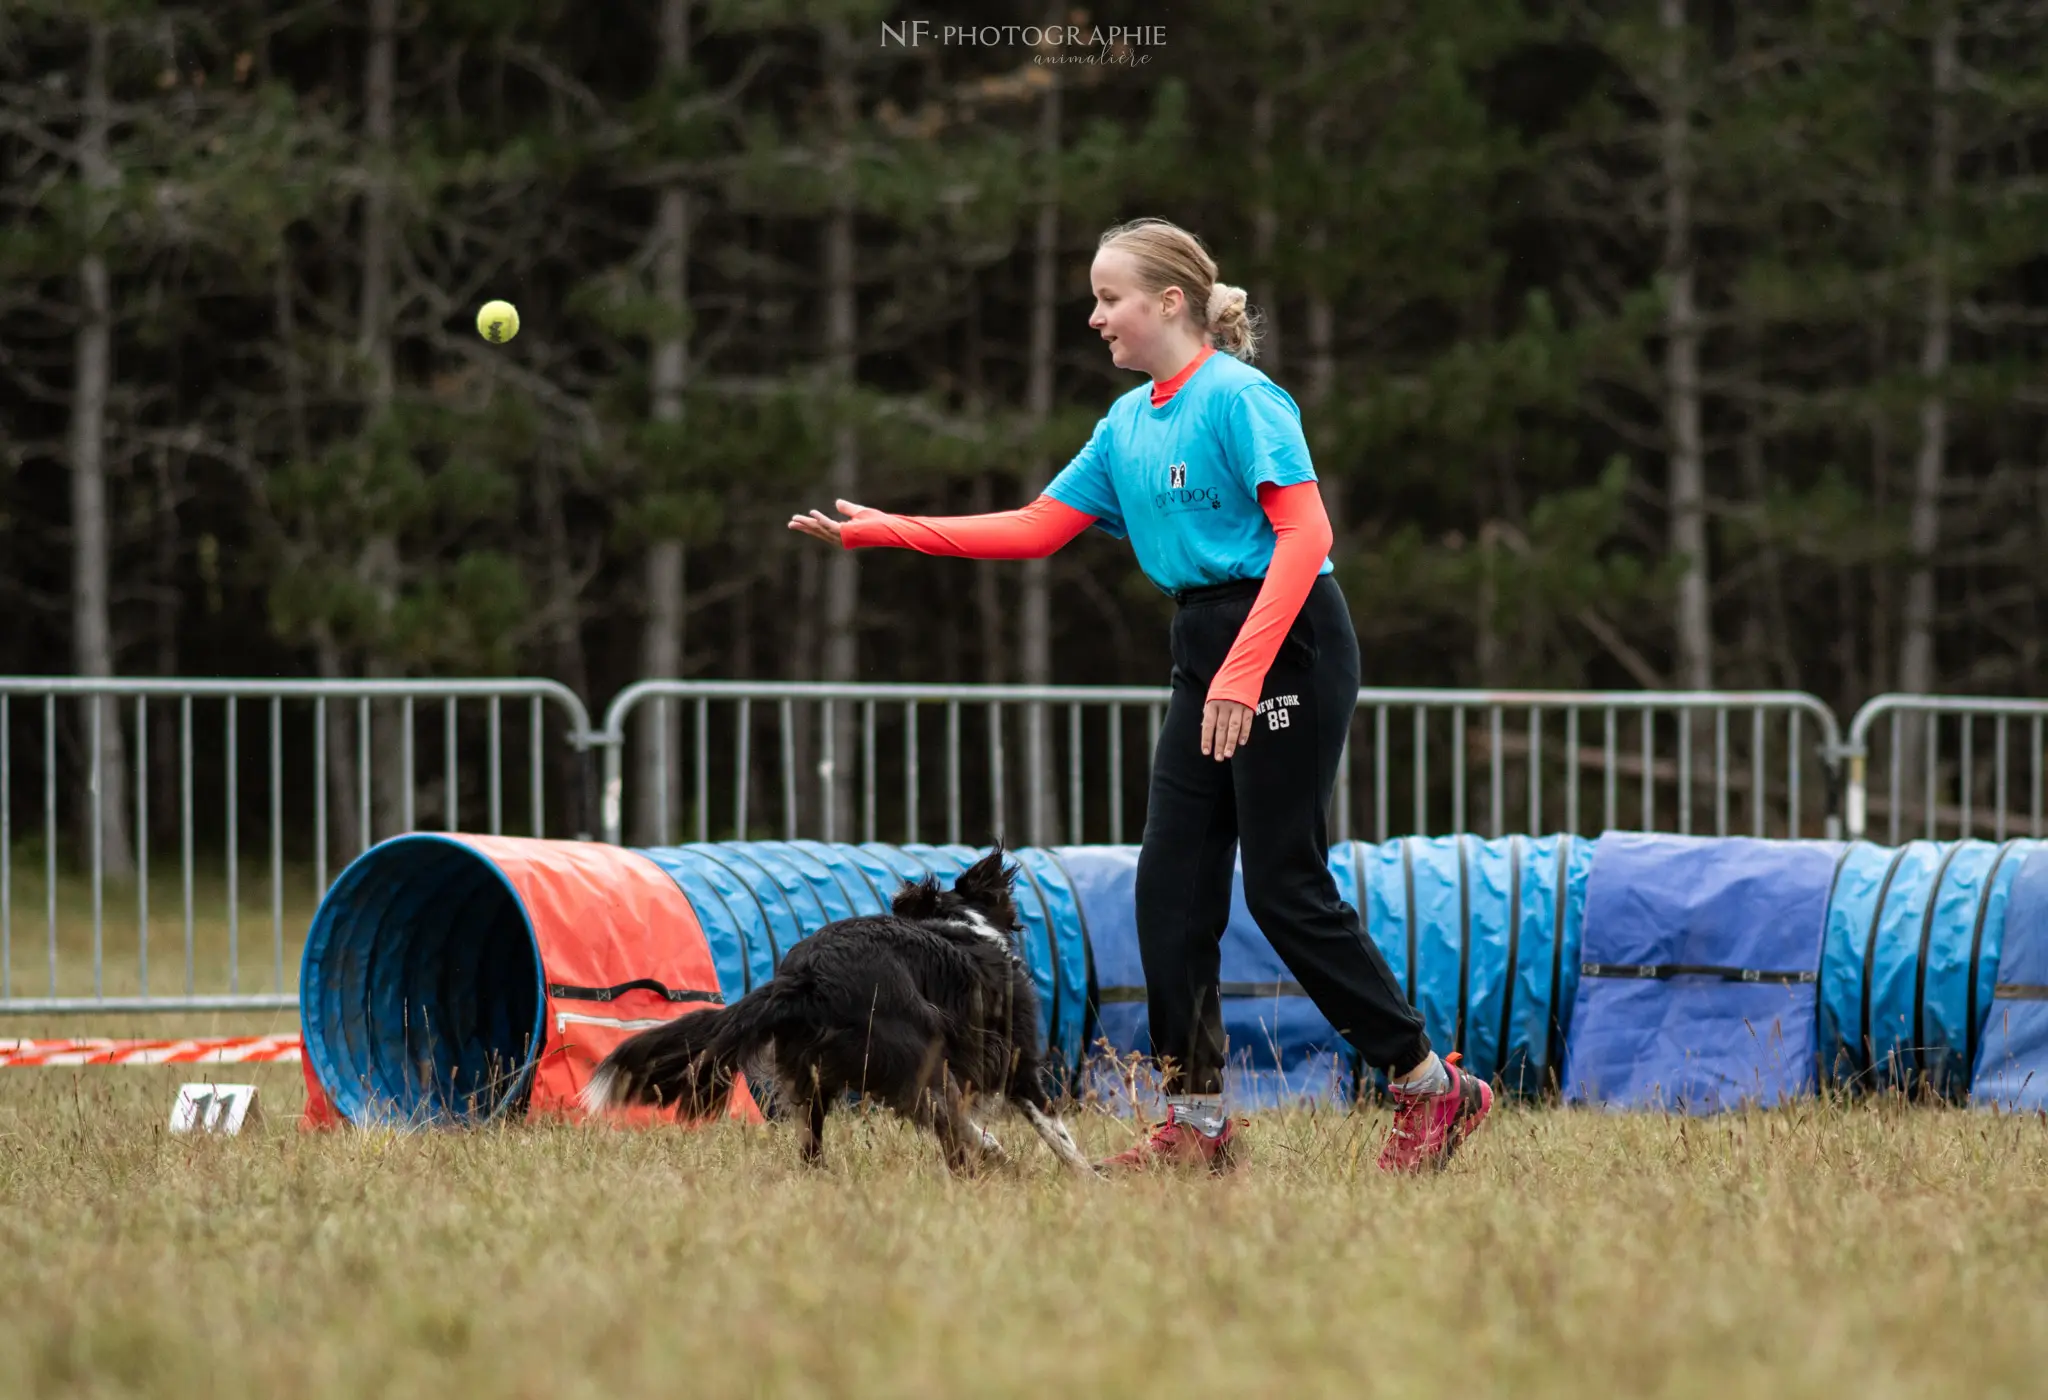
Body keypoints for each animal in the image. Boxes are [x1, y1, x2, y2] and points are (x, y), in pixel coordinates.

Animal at [581, 847, 1089, 1178]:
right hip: (919, 1055)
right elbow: (1057, 1130)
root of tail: (807, 976)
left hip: (811, 1077)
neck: (966, 923)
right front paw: (1088, 1178)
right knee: (950, 1127)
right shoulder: (1019, 1063)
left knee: (814, 1143)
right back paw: (989, 1161)